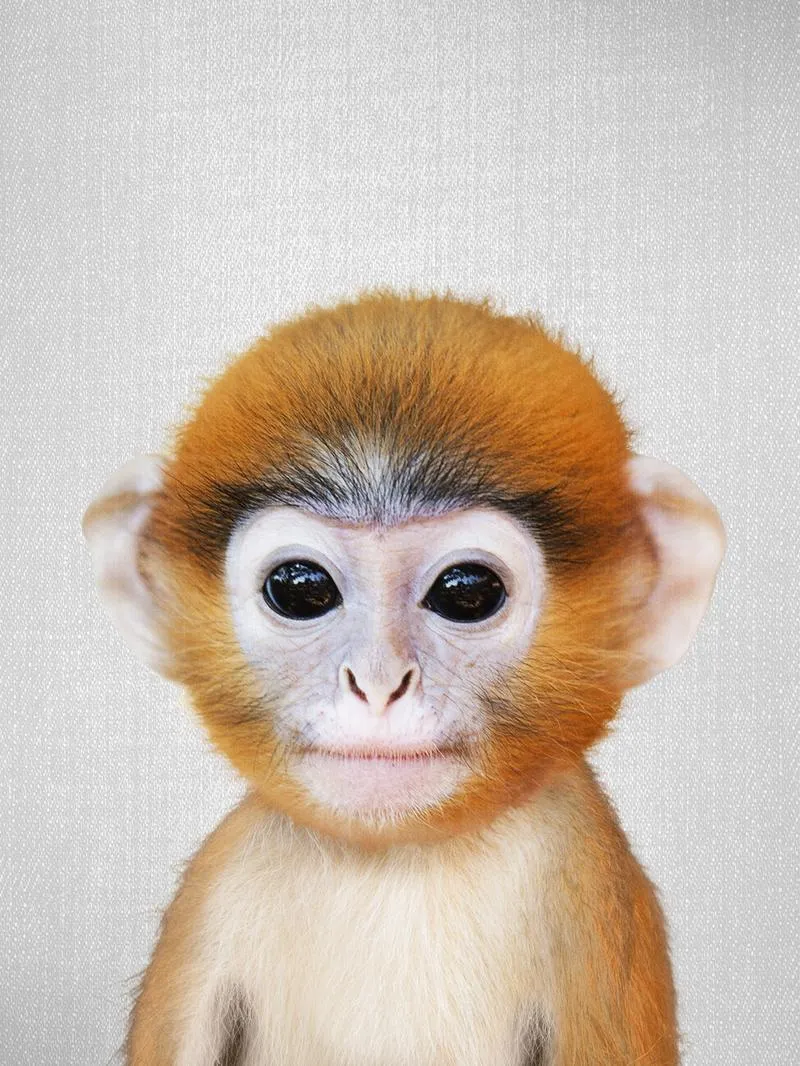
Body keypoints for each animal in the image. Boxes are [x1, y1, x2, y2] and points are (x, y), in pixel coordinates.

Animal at [83, 293, 725, 1066]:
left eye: (468, 592)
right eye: (300, 589)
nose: (379, 683)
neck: (395, 860)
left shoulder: (590, 891)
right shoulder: (211, 896)